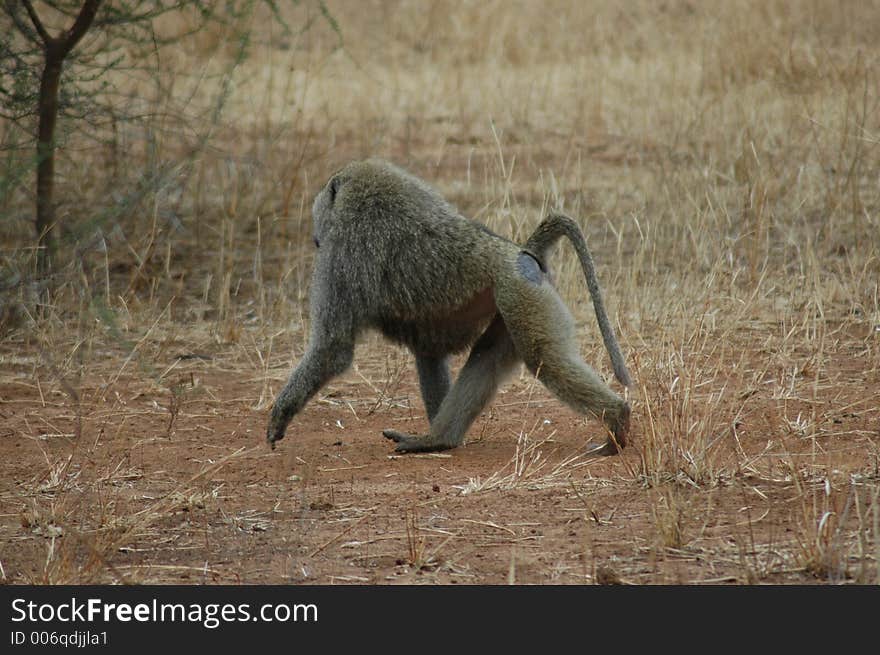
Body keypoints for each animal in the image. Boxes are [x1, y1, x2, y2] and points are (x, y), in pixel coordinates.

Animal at [268, 158, 632, 456]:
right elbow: (429, 352)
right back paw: (438, 440)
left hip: (521, 295)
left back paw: (617, 421)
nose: (314, 235)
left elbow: (333, 349)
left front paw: (279, 417)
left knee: (543, 358)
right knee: (486, 356)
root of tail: (518, 253)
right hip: (515, 303)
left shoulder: (340, 253)